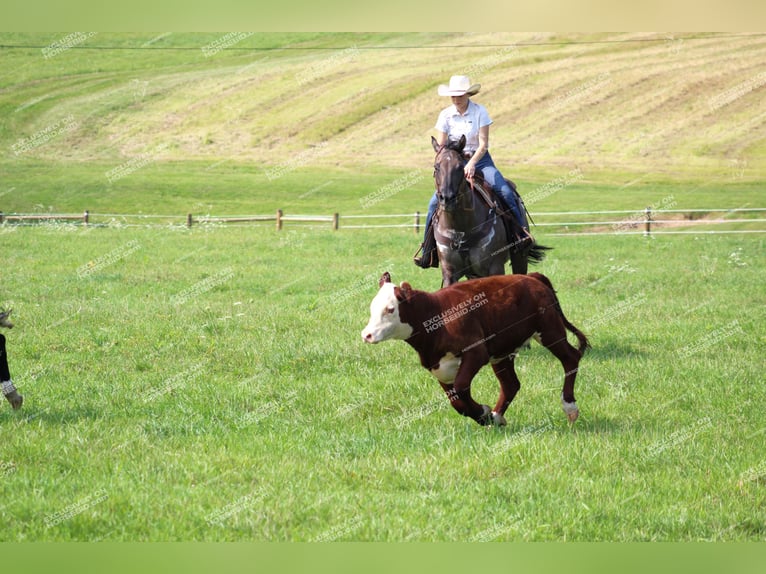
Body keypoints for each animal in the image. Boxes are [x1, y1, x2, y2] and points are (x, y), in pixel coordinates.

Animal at [364, 274, 592, 428]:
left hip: (550, 329)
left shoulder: (475, 353)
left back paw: (570, 407)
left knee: (571, 358)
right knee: (511, 384)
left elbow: (461, 386)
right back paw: (497, 417)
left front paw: (482, 412)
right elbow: (456, 401)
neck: (437, 317)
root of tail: (532, 277)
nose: (366, 335)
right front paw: (484, 416)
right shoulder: (439, 368)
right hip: (502, 352)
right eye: (372, 307)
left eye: (390, 309)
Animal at [432, 136, 552, 288]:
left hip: (520, 258)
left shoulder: (495, 268)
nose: (447, 198)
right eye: (436, 167)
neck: (461, 229)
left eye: (460, 167)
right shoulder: (449, 273)